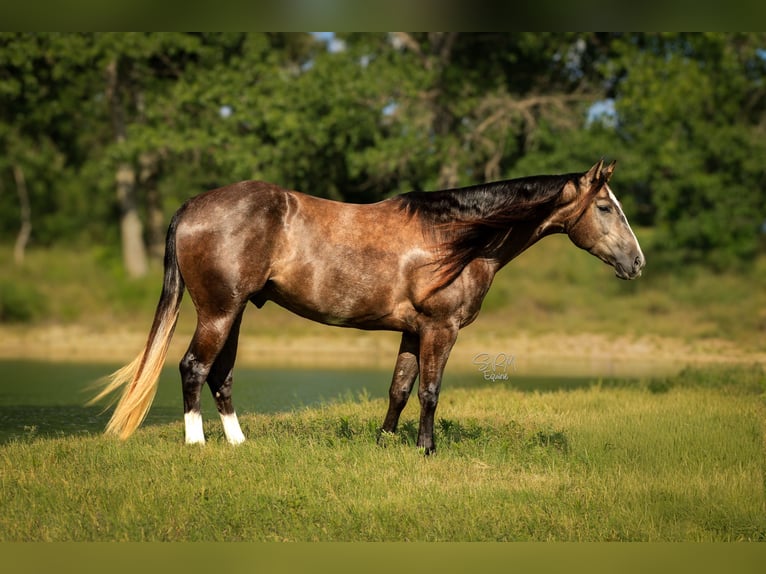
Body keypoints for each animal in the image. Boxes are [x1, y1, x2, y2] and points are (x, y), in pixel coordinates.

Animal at [90, 159, 644, 454]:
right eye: (604, 206)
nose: (637, 262)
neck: (456, 239)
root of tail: (191, 206)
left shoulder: (413, 331)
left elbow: (399, 389)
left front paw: (384, 444)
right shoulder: (441, 329)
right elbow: (430, 392)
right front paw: (426, 450)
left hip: (235, 311)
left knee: (221, 375)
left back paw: (239, 444)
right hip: (219, 311)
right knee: (193, 367)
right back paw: (197, 445)